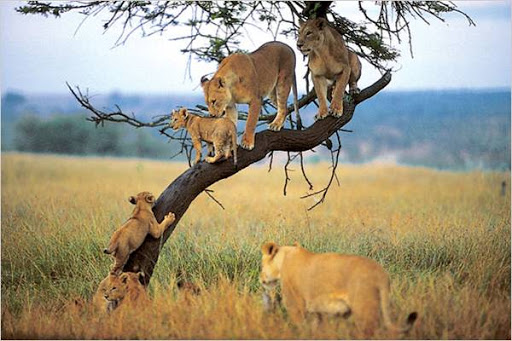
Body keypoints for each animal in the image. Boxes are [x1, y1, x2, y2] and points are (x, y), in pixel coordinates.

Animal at [260, 242, 416, 334]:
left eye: (261, 264)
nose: (260, 278)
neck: (283, 260)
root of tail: (381, 274)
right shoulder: (318, 311)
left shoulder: (295, 305)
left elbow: (300, 327)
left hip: (364, 309)